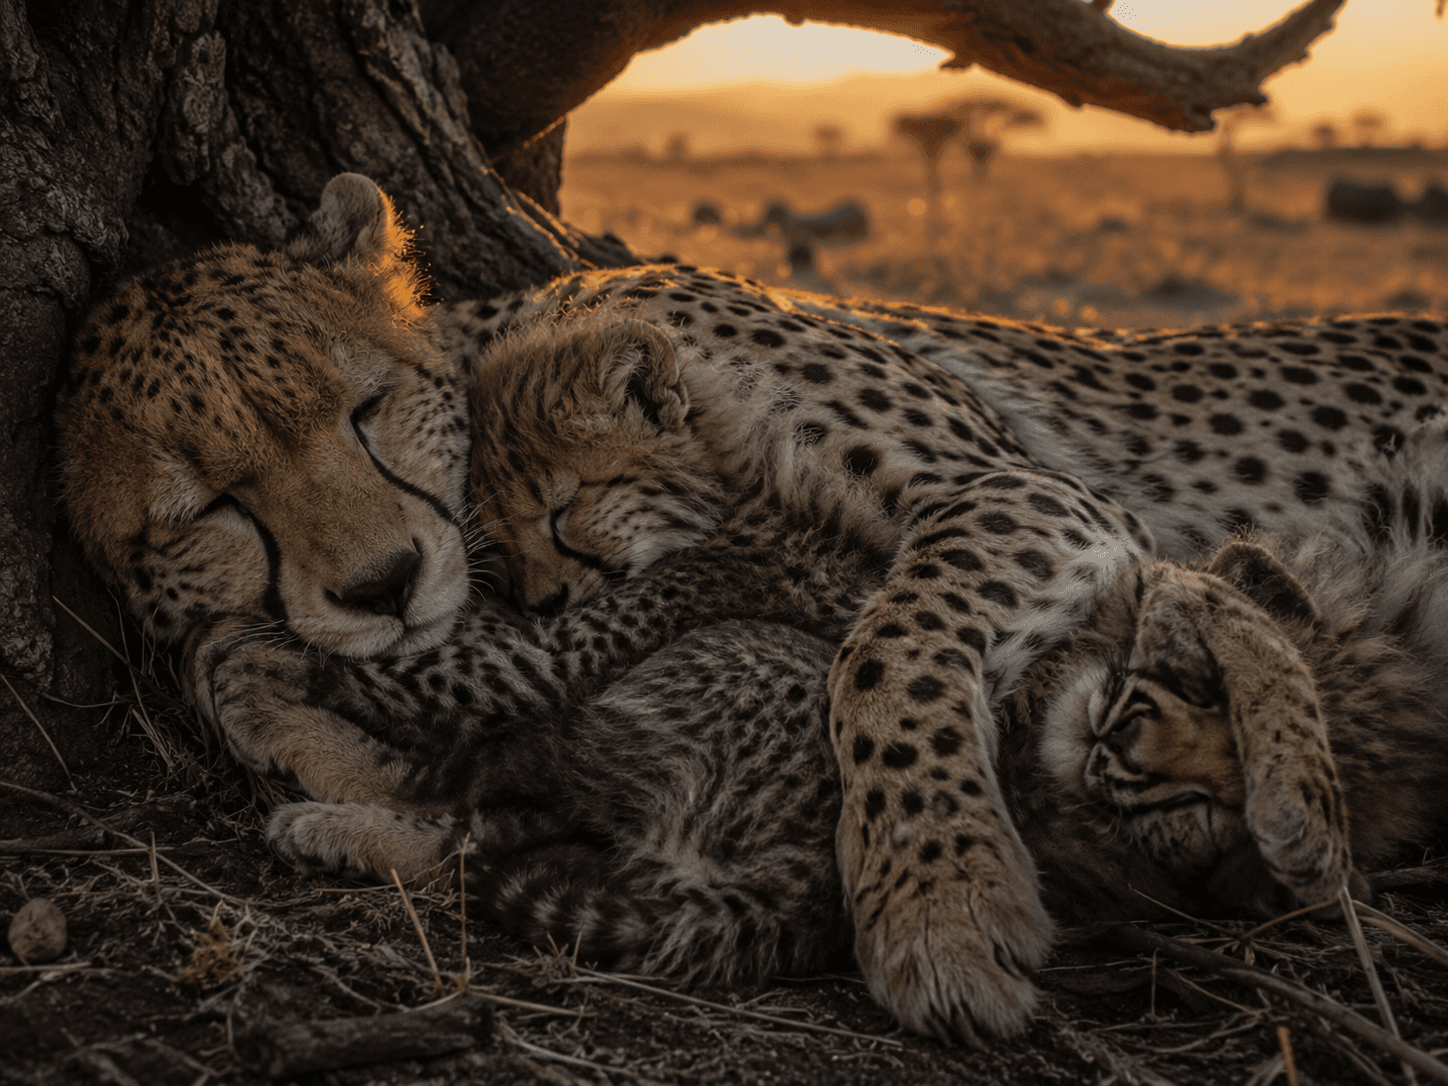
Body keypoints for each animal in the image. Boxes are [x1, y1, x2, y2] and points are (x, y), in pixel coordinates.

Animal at [56, 171, 1448, 1044]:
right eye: (209, 507)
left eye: (364, 408)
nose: (381, 585)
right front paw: (299, 720)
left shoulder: (1028, 493)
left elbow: (887, 652)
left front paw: (936, 898)